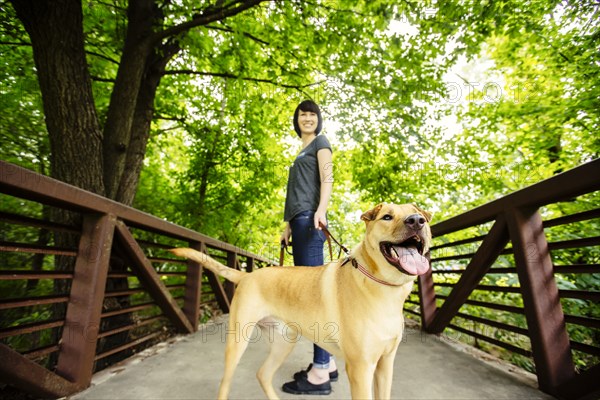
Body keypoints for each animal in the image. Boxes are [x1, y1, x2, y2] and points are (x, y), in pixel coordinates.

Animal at [170, 205, 432, 398]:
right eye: (387, 217)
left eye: (418, 215)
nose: (417, 221)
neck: (383, 288)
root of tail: (248, 275)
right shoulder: (360, 369)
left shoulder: (385, 365)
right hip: (238, 342)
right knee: (226, 382)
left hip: (284, 342)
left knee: (263, 374)